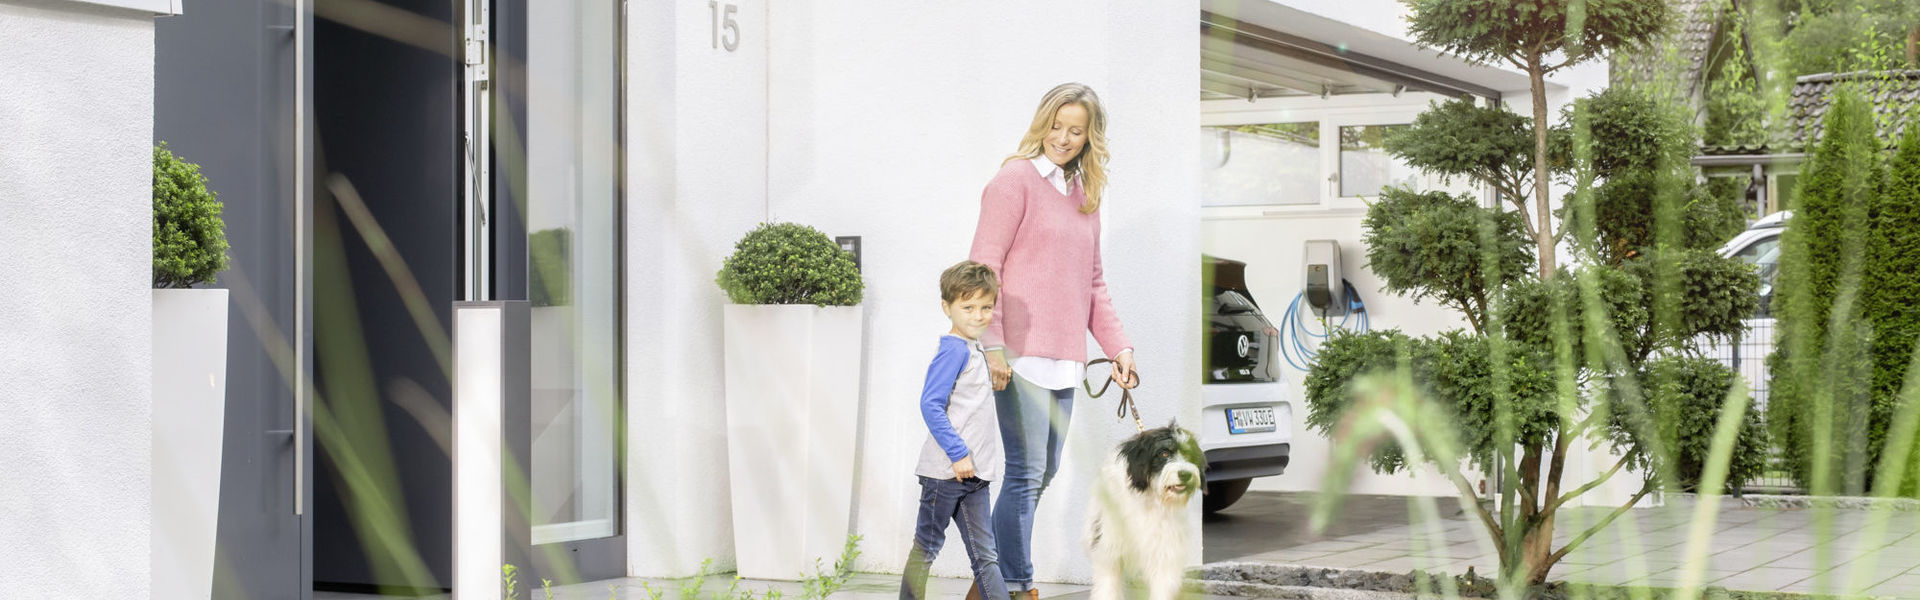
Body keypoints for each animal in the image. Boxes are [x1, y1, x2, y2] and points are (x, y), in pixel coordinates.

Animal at [1090, 421, 1205, 600]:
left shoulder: (1165, 550)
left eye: (1188, 453)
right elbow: (1108, 586)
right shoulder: (1109, 550)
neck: (1150, 499)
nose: (1185, 474)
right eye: (1164, 453)